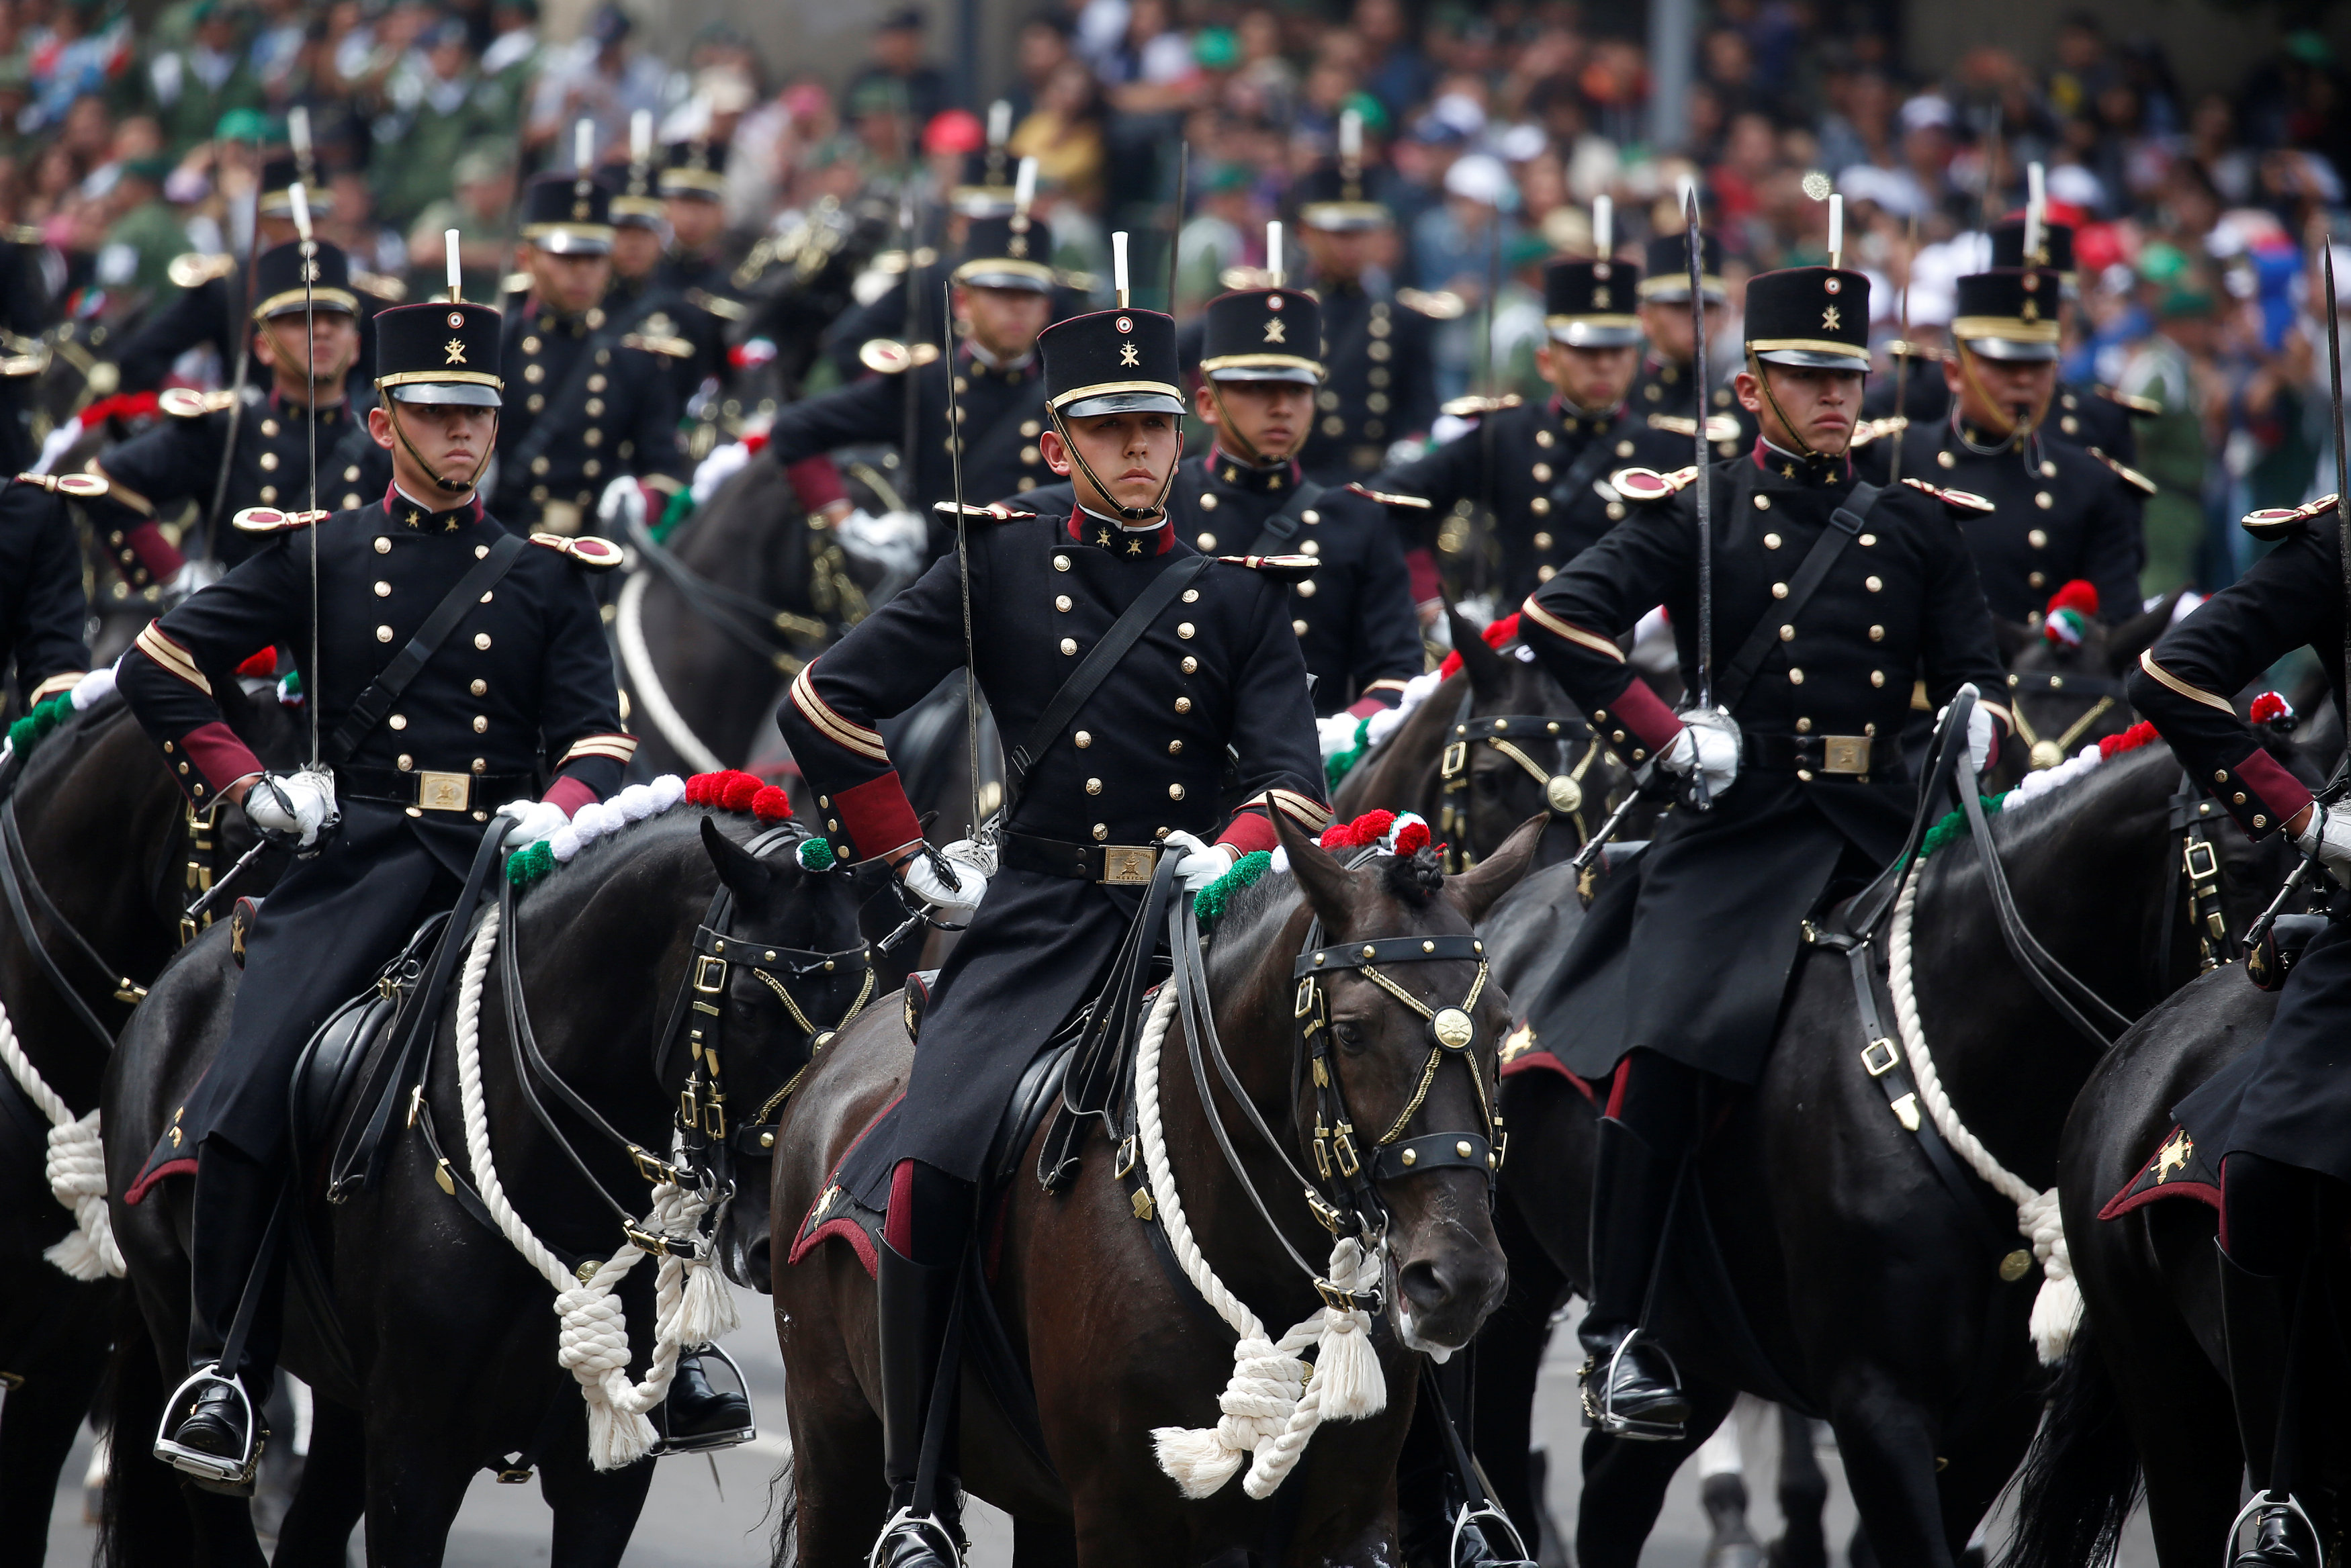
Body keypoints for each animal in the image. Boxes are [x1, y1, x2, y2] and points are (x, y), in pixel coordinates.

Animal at [103, 804, 875, 1561]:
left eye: (861, 1010)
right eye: (746, 1004)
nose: (777, 1235)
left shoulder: (603, 1482)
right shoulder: (414, 1456)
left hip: (348, 1404)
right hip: (179, 1320)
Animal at [766, 818, 1542, 1561]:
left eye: (1500, 1026)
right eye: (1350, 1032)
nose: (1463, 1280)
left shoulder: (1353, 1524)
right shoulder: (1124, 1523)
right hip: (835, 1448)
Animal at [1467, 738, 2295, 1568]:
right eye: (2244, 865)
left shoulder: (1993, 1421)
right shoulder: (1876, 1405)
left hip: (1697, 1346)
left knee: (1612, 1500)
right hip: (1511, 1307)